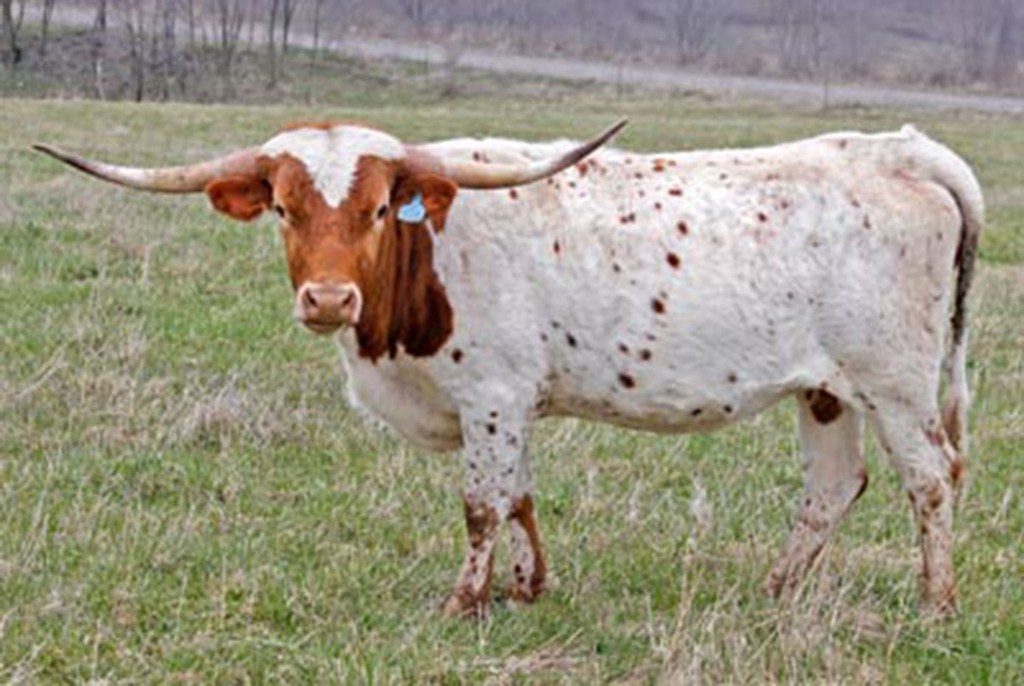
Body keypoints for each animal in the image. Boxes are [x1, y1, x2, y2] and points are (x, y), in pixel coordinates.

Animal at [35, 120, 983, 619]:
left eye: (376, 208)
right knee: (833, 484)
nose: (329, 299)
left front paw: (465, 600)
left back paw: (937, 601)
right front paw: (528, 588)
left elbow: (482, 503)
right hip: (828, 390)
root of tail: (902, 149)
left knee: (930, 479)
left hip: (898, 384)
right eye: (284, 207)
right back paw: (777, 591)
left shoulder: (490, 396)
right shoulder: (515, 402)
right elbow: (521, 495)